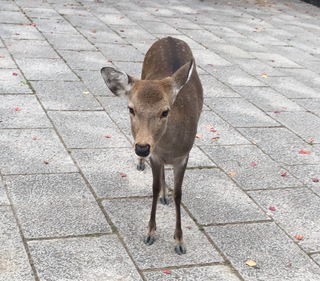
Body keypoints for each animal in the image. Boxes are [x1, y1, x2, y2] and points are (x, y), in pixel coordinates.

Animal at [101, 36, 204, 254]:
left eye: (165, 111)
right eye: (131, 109)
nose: (142, 147)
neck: (168, 147)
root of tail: (170, 38)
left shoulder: (184, 155)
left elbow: (178, 194)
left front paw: (179, 241)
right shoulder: (155, 155)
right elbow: (154, 188)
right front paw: (150, 233)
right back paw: (143, 165)